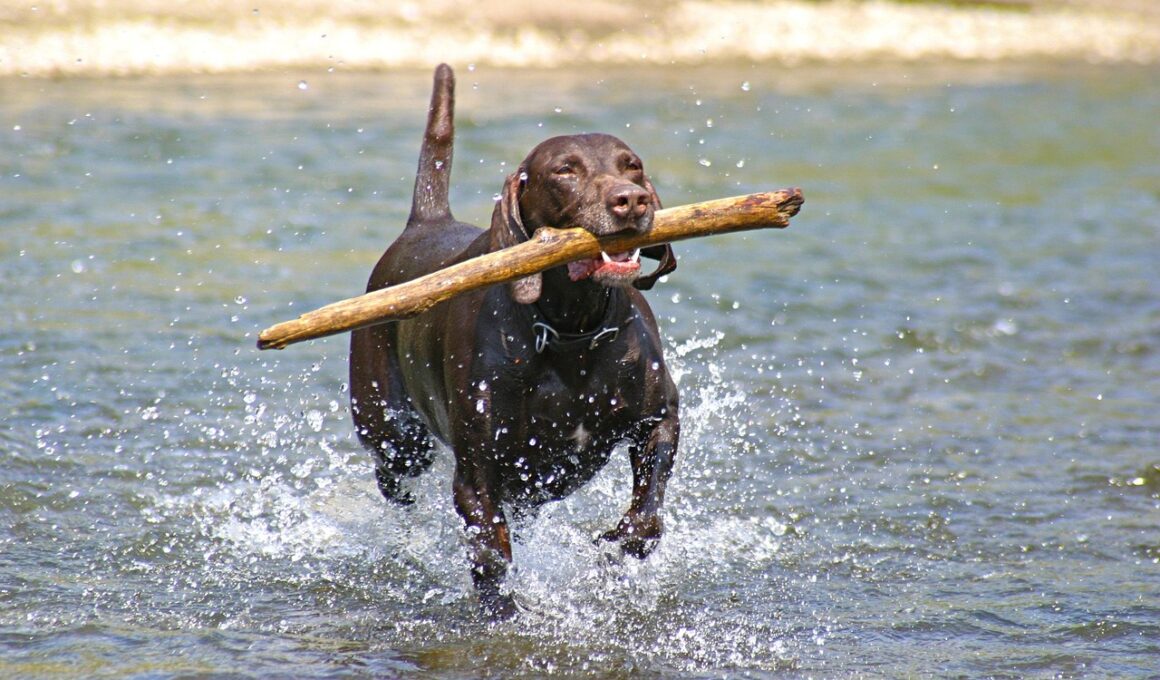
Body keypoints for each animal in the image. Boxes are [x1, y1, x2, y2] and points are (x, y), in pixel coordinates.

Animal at [349, 64, 679, 618]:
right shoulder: (478, 473)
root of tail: (425, 222)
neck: (571, 332)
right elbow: (489, 554)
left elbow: (647, 519)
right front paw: (502, 613)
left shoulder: (658, 421)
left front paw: (615, 546)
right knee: (393, 476)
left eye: (631, 165)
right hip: (395, 433)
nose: (630, 199)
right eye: (565, 170)